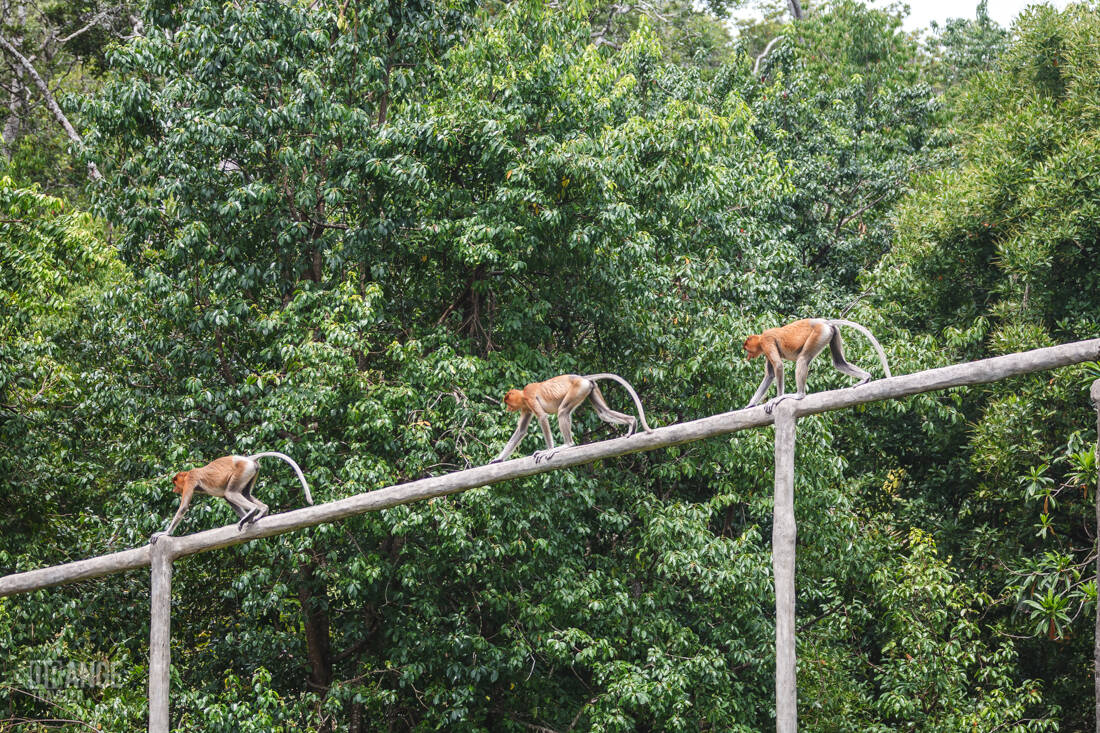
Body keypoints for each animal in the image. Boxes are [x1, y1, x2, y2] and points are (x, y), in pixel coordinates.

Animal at [151, 452, 312, 542]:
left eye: (175, 482)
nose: (174, 489)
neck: (188, 474)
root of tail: (248, 459)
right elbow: (228, 499)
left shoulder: (191, 479)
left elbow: (184, 507)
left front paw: (164, 533)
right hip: (251, 472)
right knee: (241, 494)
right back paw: (259, 512)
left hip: (243, 470)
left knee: (231, 493)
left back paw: (253, 511)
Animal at [490, 373, 653, 464]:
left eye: (507, 402)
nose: (507, 409)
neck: (522, 395)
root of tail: (582, 378)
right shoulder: (525, 407)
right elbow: (522, 430)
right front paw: (498, 459)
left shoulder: (529, 397)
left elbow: (542, 417)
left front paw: (548, 450)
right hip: (590, 389)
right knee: (603, 412)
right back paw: (632, 422)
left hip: (578, 389)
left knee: (562, 412)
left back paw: (567, 445)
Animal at [744, 318, 891, 412]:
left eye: (747, 349)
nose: (748, 357)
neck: (760, 339)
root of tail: (824, 322)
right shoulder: (766, 349)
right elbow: (770, 375)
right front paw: (749, 405)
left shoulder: (767, 342)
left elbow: (778, 366)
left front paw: (777, 398)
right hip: (832, 333)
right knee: (839, 362)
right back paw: (865, 378)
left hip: (819, 334)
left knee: (802, 360)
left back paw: (799, 395)